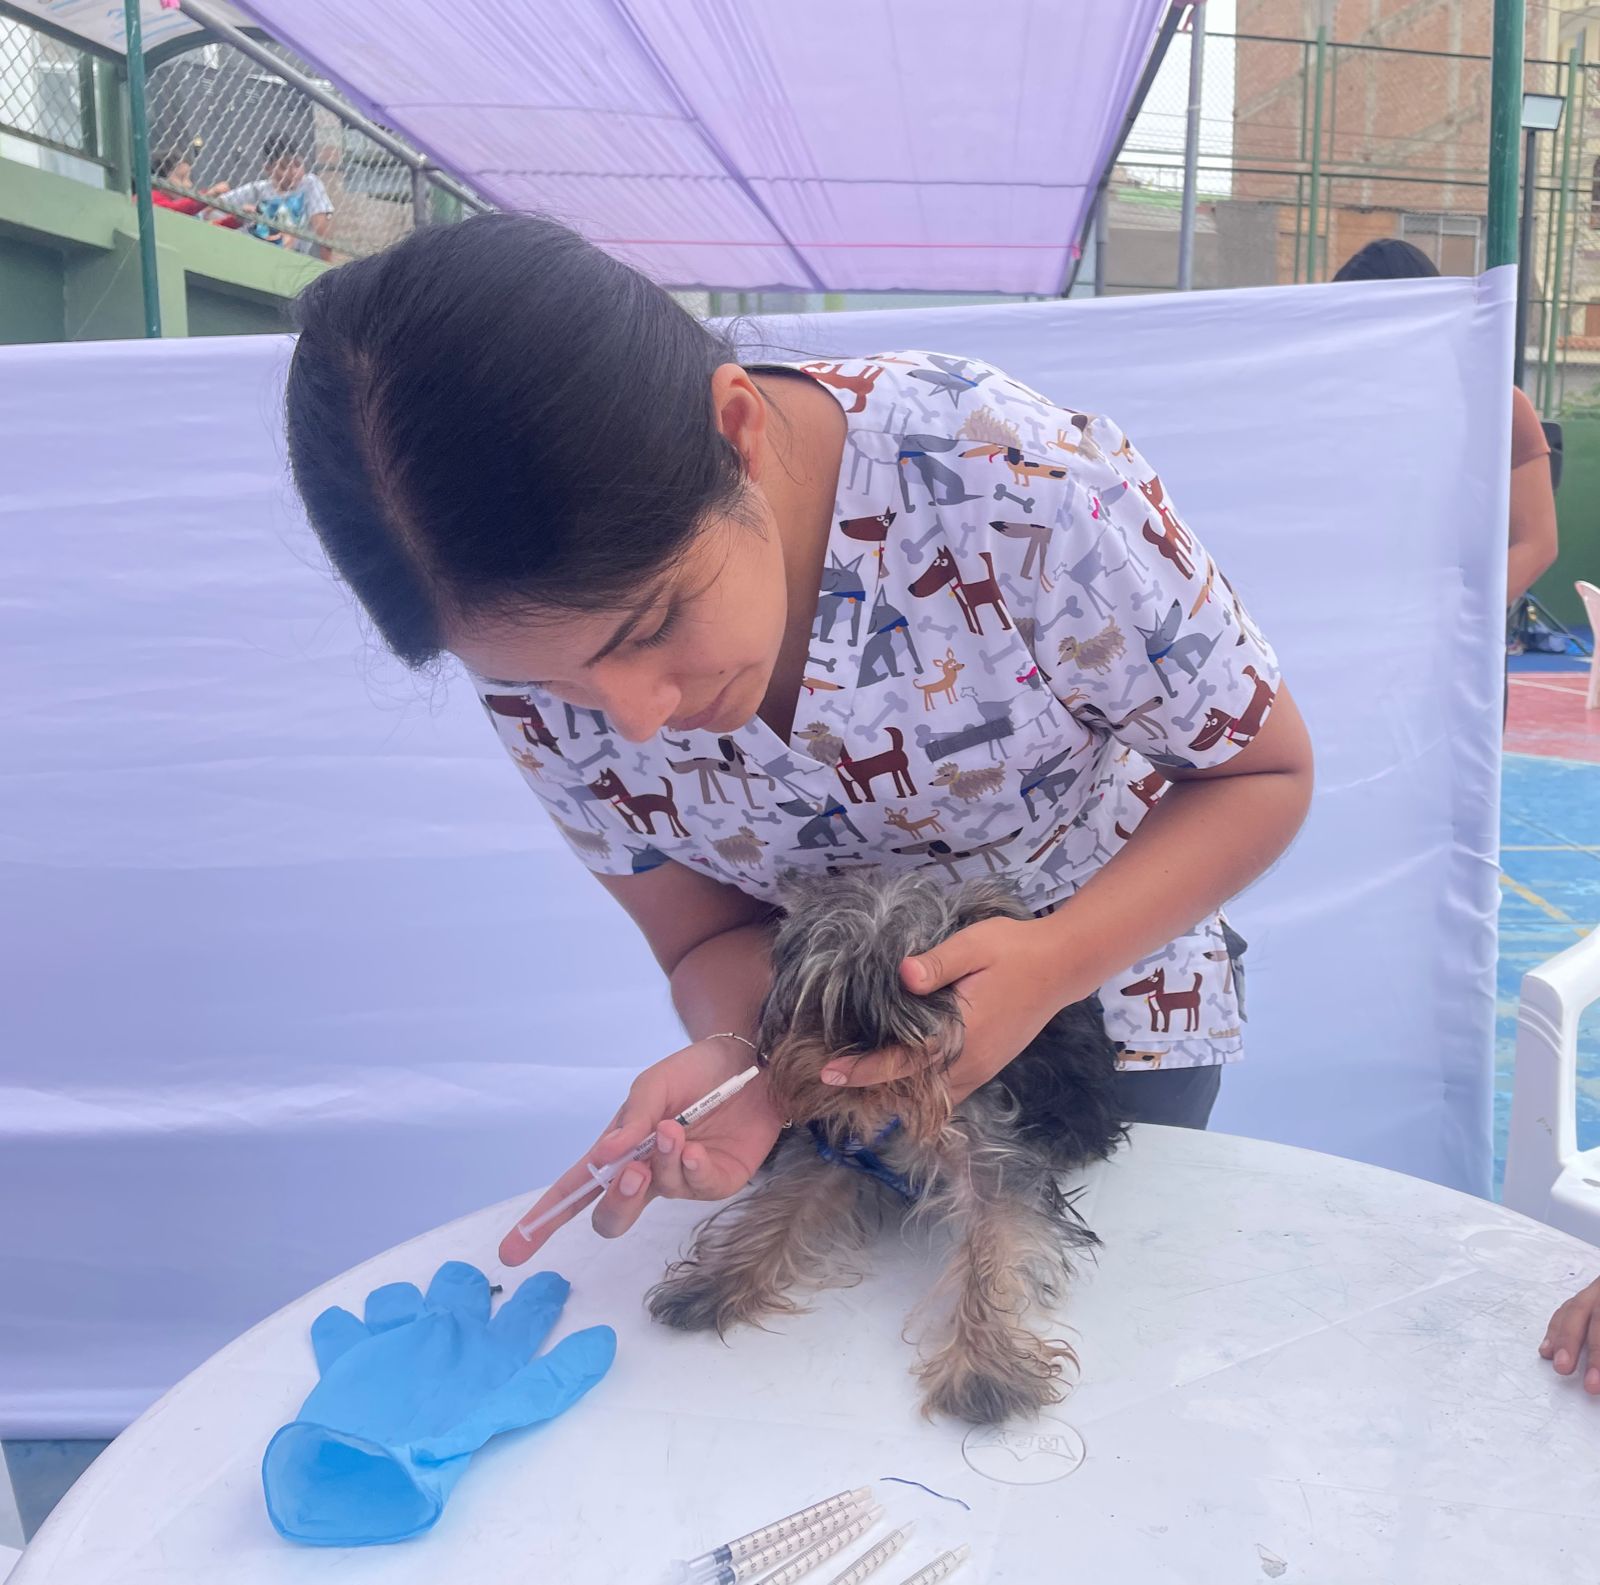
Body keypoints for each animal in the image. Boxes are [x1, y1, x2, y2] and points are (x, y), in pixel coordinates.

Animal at [646, 870, 1126, 1426]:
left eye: (921, 995)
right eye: (824, 994)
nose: (862, 1047)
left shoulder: (994, 1161)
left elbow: (997, 1245)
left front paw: (984, 1368)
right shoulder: (835, 1147)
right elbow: (782, 1208)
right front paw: (713, 1282)